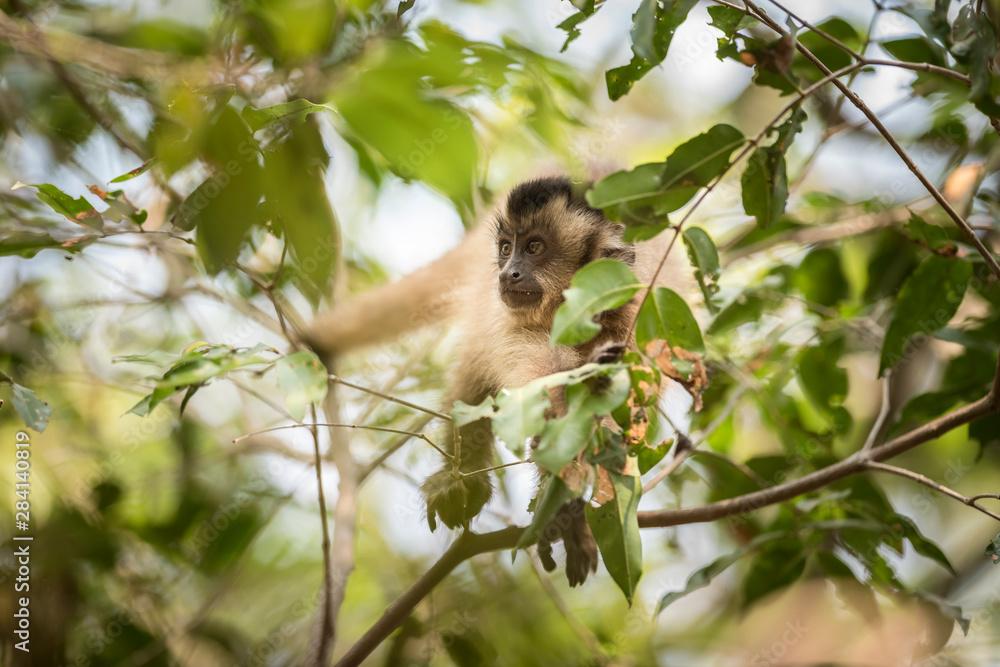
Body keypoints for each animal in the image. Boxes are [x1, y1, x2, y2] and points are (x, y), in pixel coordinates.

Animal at [303, 176, 692, 585]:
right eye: (507, 249)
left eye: (534, 247)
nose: (508, 273)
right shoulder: (515, 328)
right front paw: (566, 513)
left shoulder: (636, 321)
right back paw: (460, 480)